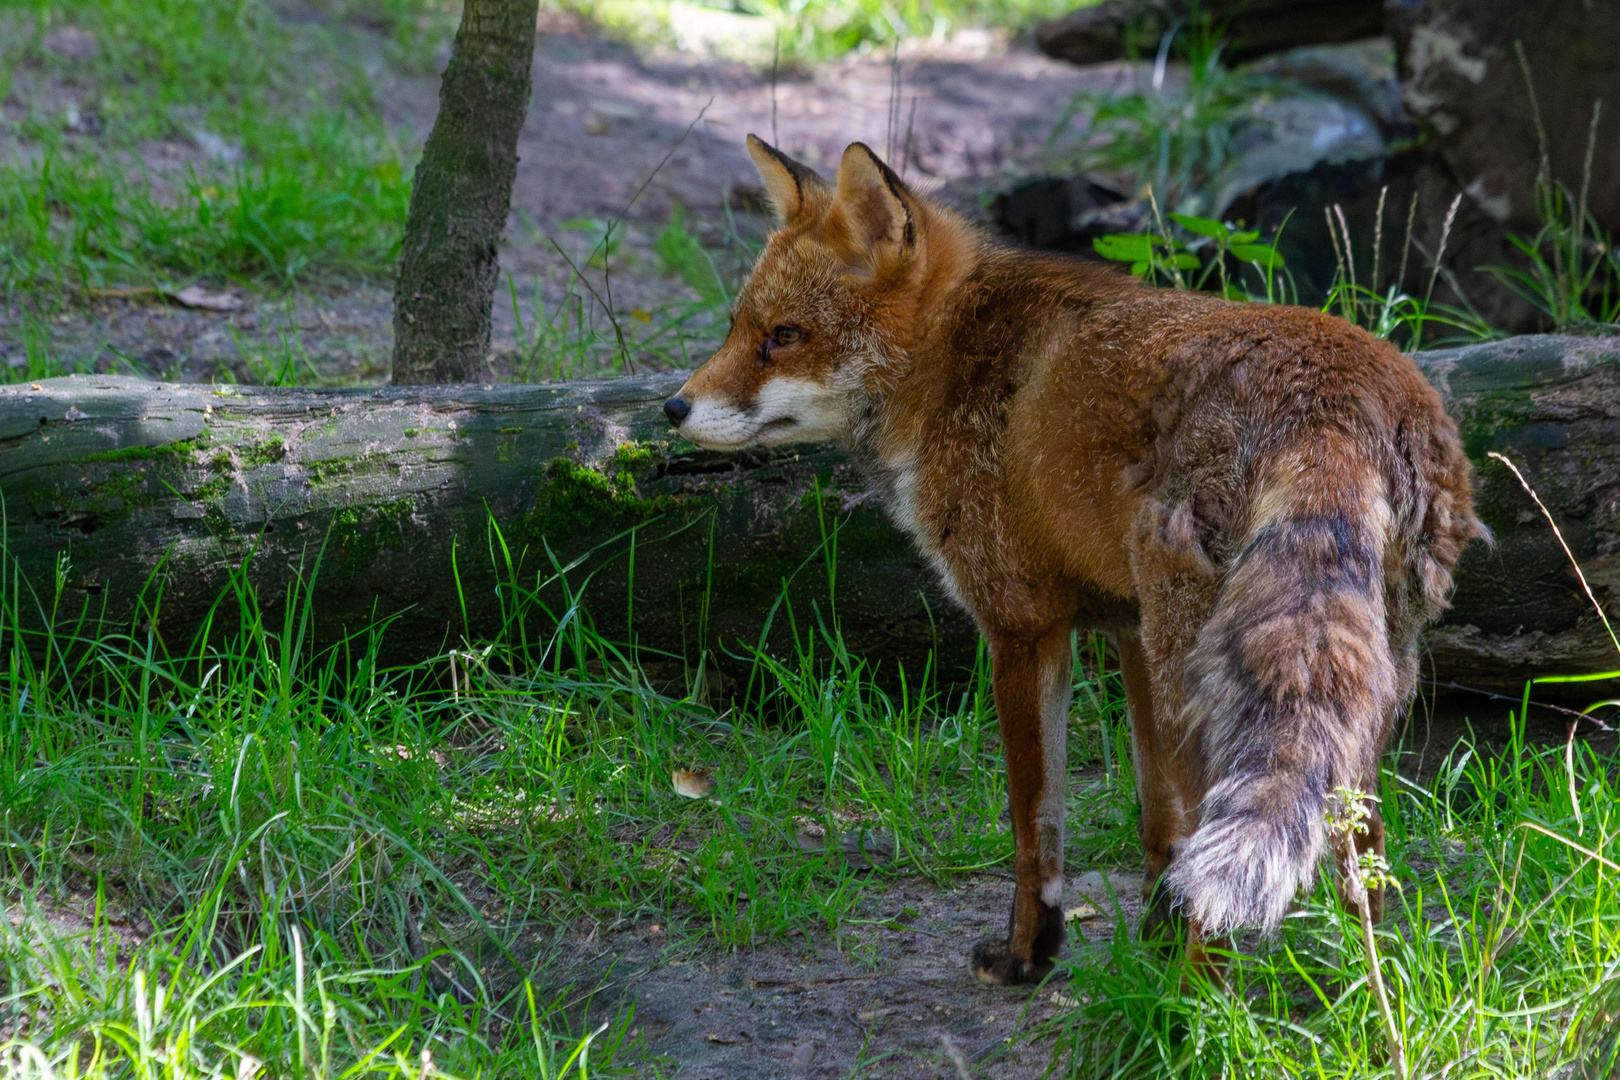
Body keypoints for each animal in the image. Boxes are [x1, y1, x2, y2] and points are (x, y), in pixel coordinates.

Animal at [660, 131, 1483, 984]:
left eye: (784, 337)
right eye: (735, 326)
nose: (672, 408)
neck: (952, 360)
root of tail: (1332, 402)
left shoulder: (1023, 628)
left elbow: (1035, 829)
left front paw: (1031, 955)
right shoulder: (1125, 629)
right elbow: (1160, 823)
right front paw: (1151, 937)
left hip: (1203, 672)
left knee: (1239, 867)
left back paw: (1196, 1002)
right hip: (1354, 683)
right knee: (1361, 846)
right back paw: (1356, 987)